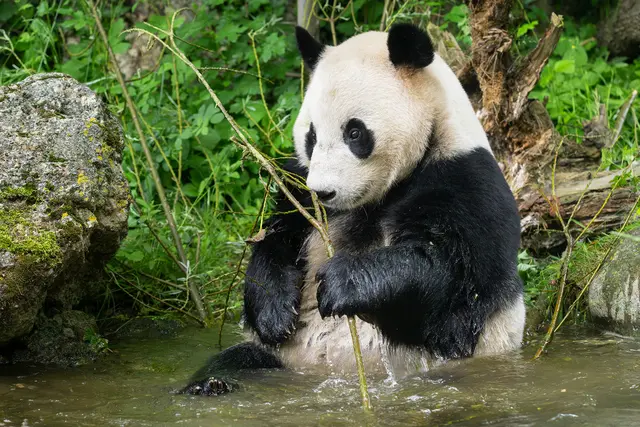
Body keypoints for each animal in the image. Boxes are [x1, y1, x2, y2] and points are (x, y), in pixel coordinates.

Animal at [181, 22, 524, 396]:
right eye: (311, 136)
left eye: (355, 132)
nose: (323, 192)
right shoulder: (298, 184)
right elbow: (275, 239)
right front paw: (275, 313)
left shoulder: (465, 180)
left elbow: (447, 278)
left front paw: (341, 283)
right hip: (280, 357)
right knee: (237, 359)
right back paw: (209, 385)